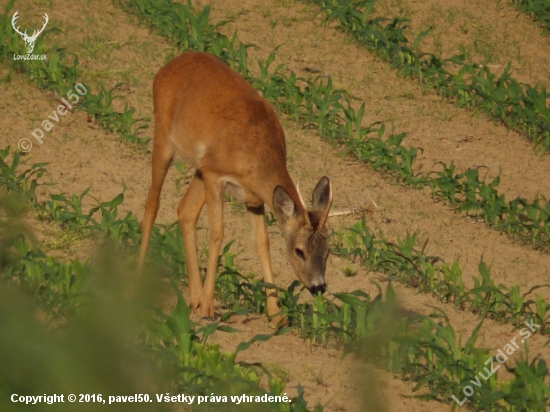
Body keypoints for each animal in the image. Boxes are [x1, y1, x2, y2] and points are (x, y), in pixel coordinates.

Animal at [140, 51, 334, 320]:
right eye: (299, 251)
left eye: (328, 251)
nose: (318, 287)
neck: (256, 156)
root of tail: (168, 66)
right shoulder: (216, 176)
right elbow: (217, 233)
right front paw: (208, 308)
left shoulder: (253, 198)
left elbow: (263, 243)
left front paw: (276, 315)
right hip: (165, 140)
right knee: (152, 204)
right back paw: (138, 276)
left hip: (199, 168)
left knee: (185, 211)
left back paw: (193, 298)